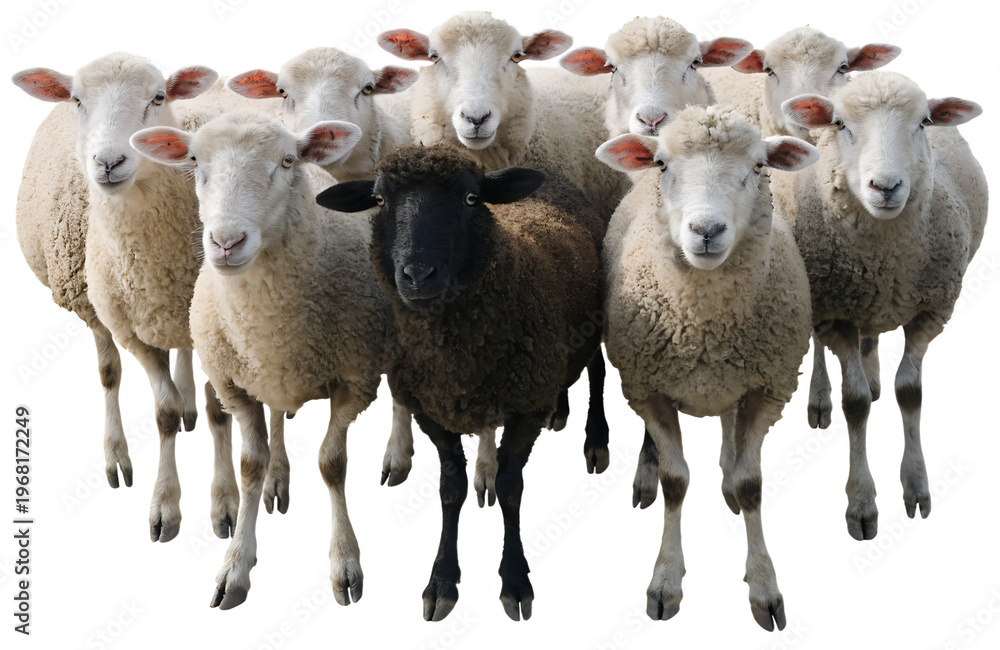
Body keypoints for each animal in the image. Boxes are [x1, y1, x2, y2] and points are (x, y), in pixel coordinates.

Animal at [12, 54, 236, 544]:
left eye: (158, 96)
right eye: (77, 100)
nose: (109, 161)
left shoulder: (213, 325)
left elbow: (220, 411)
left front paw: (224, 503)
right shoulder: (131, 329)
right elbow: (162, 412)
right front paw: (164, 506)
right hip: (94, 304)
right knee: (109, 373)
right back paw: (117, 455)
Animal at [131, 112, 385, 610]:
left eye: (287, 161)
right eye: (194, 161)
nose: (226, 242)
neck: (269, 325)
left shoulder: (356, 382)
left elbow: (332, 464)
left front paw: (345, 562)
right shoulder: (234, 383)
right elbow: (250, 465)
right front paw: (235, 567)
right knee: (276, 421)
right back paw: (277, 480)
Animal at [316, 143, 605, 622]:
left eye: (471, 199)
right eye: (380, 200)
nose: (417, 275)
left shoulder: (525, 408)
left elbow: (511, 487)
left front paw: (514, 578)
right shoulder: (432, 411)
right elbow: (450, 491)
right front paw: (442, 580)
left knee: (597, 372)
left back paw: (595, 438)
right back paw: (555, 414)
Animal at [596, 105, 819, 630]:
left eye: (759, 166)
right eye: (662, 164)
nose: (706, 231)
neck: (704, 326)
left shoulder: (767, 387)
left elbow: (752, 484)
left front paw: (764, 586)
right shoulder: (647, 388)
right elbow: (675, 481)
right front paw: (665, 580)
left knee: (728, 427)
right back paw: (646, 472)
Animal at [773, 71, 987, 540]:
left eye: (924, 122)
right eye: (840, 124)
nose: (886, 187)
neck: (886, 259)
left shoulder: (930, 312)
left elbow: (910, 392)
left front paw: (917, 487)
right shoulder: (833, 309)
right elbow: (854, 404)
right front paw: (862, 505)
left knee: (869, 339)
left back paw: (871, 376)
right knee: (820, 345)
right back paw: (820, 398)